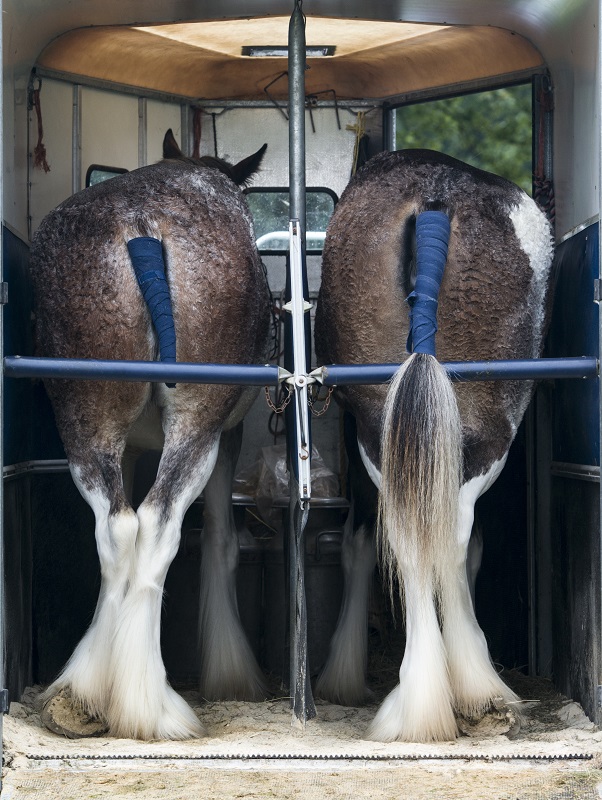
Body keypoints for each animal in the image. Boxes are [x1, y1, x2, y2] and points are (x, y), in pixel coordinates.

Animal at [30, 129, 271, 740]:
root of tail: (141, 226)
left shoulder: (133, 449)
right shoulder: (227, 438)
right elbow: (220, 542)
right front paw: (230, 673)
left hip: (87, 414)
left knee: (116, 527)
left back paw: (83, 695)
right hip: (198, 423)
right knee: (158, 524)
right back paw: (150, 705)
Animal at [314, 149, 554, 742]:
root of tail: (432, 200)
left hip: (379, 426)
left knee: (405, 534)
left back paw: (416, 699)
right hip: (488, 427)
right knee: (451, 535)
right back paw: (472, 687)